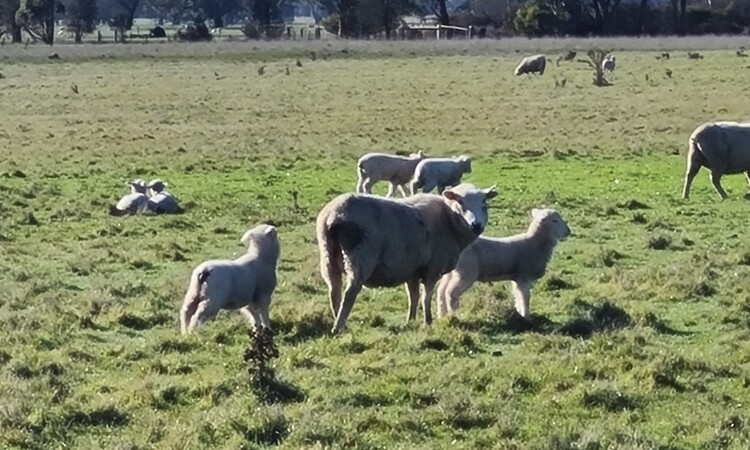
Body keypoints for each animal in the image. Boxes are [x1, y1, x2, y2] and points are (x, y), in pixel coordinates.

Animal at [316, 180, 500, 334]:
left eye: (484, 203)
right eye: (460, 202)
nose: (476, 225)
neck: (448, 219)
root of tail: (334, 215)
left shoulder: (412, 269)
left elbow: (413, 296)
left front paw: (410, 321)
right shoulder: (432, 268)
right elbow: (426, 297)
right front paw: (428, 322)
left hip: (328, 256)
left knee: (334, 290)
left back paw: (339, 322)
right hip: (360, 256)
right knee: (349, 293)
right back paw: (339, 327)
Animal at [434, 207, 568, 320]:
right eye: (555, 220)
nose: (568, 231)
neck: (535, 243)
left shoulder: (517, 278)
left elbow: (518, 296)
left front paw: (519, 313)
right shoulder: (523, 276)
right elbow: (525, 297)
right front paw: (526, 317)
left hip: (452, 271)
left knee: (441, 291)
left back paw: (442, 316)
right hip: (466, 272)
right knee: (451, 293)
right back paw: (453, 315)